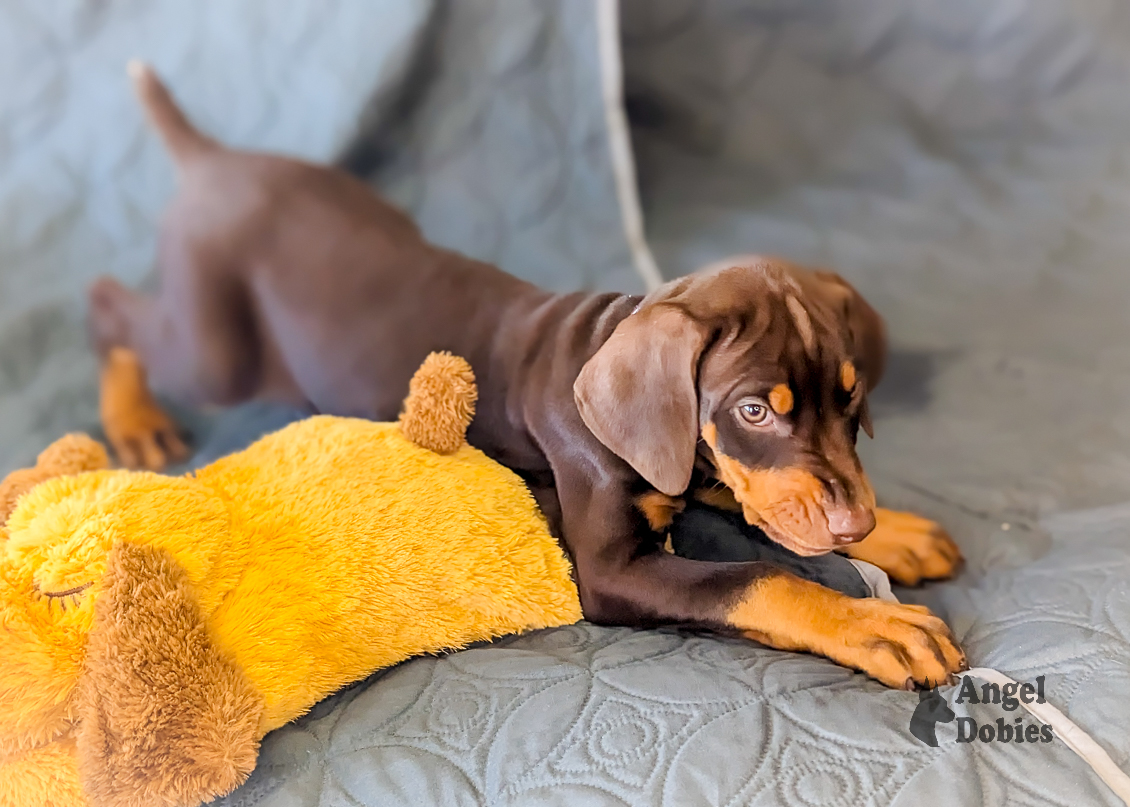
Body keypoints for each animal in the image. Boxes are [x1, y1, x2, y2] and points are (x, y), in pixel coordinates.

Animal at [92, 66, 967, 687]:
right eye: (754, 410)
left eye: (851, 397)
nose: (855, 526)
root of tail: (213, 159)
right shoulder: (614, 573)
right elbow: (760, 574)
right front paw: (874, 624)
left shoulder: (702, 464)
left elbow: (757, 502)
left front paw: (896, 530)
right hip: (220, 352)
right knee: (115, 309)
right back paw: (134, 416)